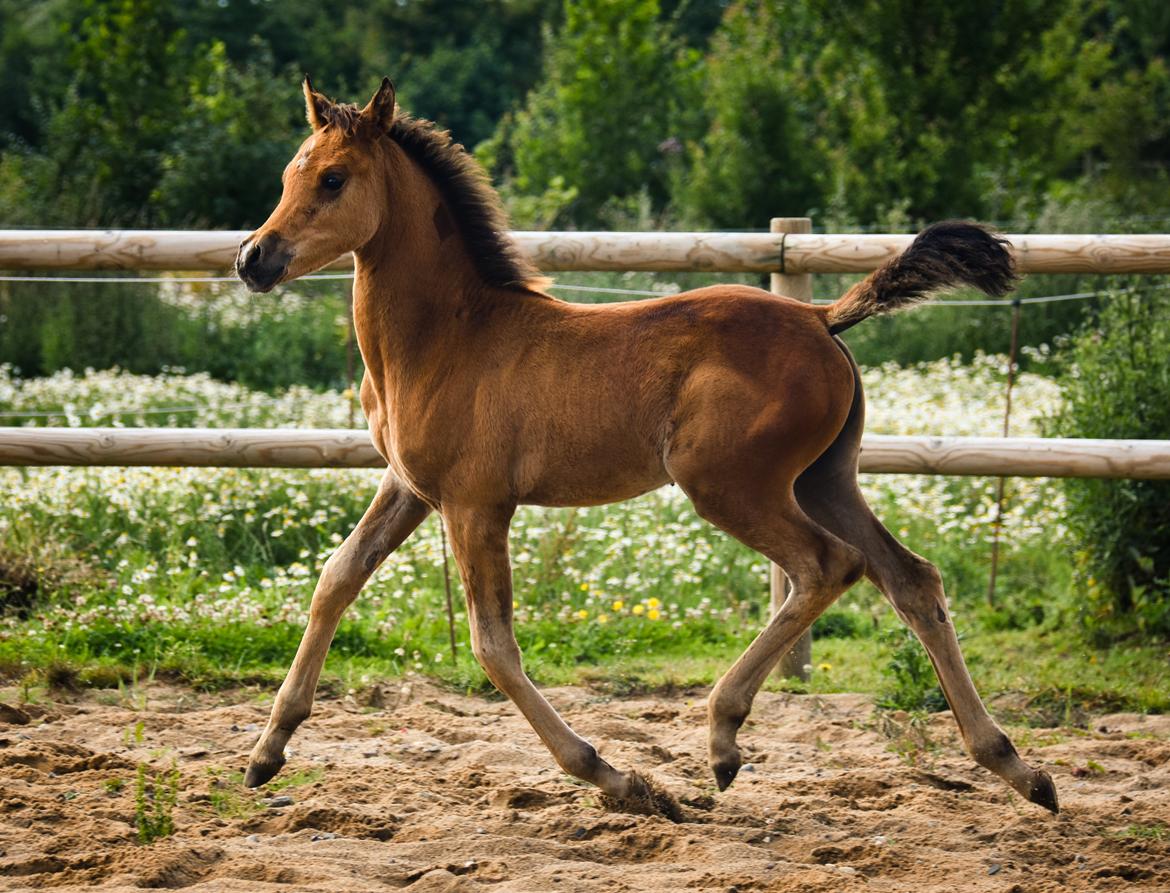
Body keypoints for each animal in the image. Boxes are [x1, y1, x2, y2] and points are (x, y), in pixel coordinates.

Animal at [237, 78, 1062, 819]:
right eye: (286, 175)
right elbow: (336, 579)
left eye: (334, 179)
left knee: (827, 565)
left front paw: (616, 777)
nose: (254, 258)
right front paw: (266, 750)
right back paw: (1015, 765)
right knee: (910, 578)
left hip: (727, 483)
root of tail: (821, 317)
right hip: (824, 479)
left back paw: (724, 736)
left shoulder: (475, 504)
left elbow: (493, 645)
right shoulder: (409, 486)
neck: (449, 335)